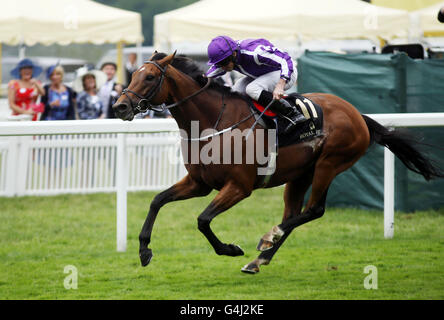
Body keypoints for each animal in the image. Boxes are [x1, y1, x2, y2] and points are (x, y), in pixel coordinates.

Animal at [112, 52, 442, 272]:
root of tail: (357, 114)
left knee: (314, 210)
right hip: (300, 175)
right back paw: (260, 258)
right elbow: (157, 200)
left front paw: (230, 249)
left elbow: (203, 220)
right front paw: (144, 250)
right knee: (294, 214)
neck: (212, 122)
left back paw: (267, 239)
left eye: (150, 77)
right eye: (133, 75)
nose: (120, 106)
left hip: (330, 164)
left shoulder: (239, 187)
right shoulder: (199, 183)